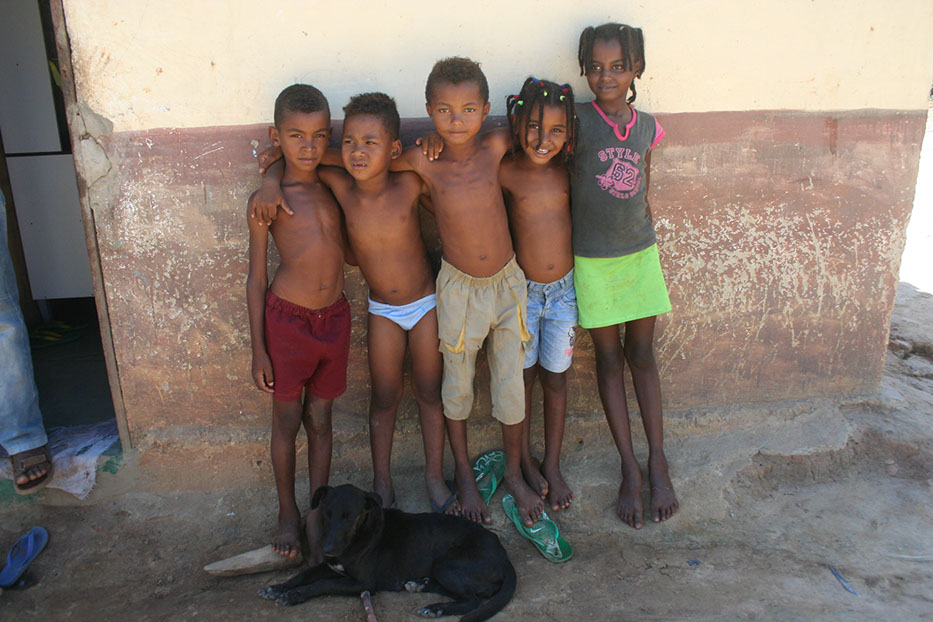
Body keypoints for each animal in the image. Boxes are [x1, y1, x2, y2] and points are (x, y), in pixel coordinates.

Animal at [259, 484, 516, 621]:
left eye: (349, 516)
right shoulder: (331, 566)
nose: (327, 549)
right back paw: (419, 585)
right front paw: (278, 587)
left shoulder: (363, 583)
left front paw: (293, 595)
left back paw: (435, 608)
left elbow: (322, 584)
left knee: (472, 601)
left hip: (447, 564)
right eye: (327, 513)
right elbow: (303, 575)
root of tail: (505, 557)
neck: (359, 535)